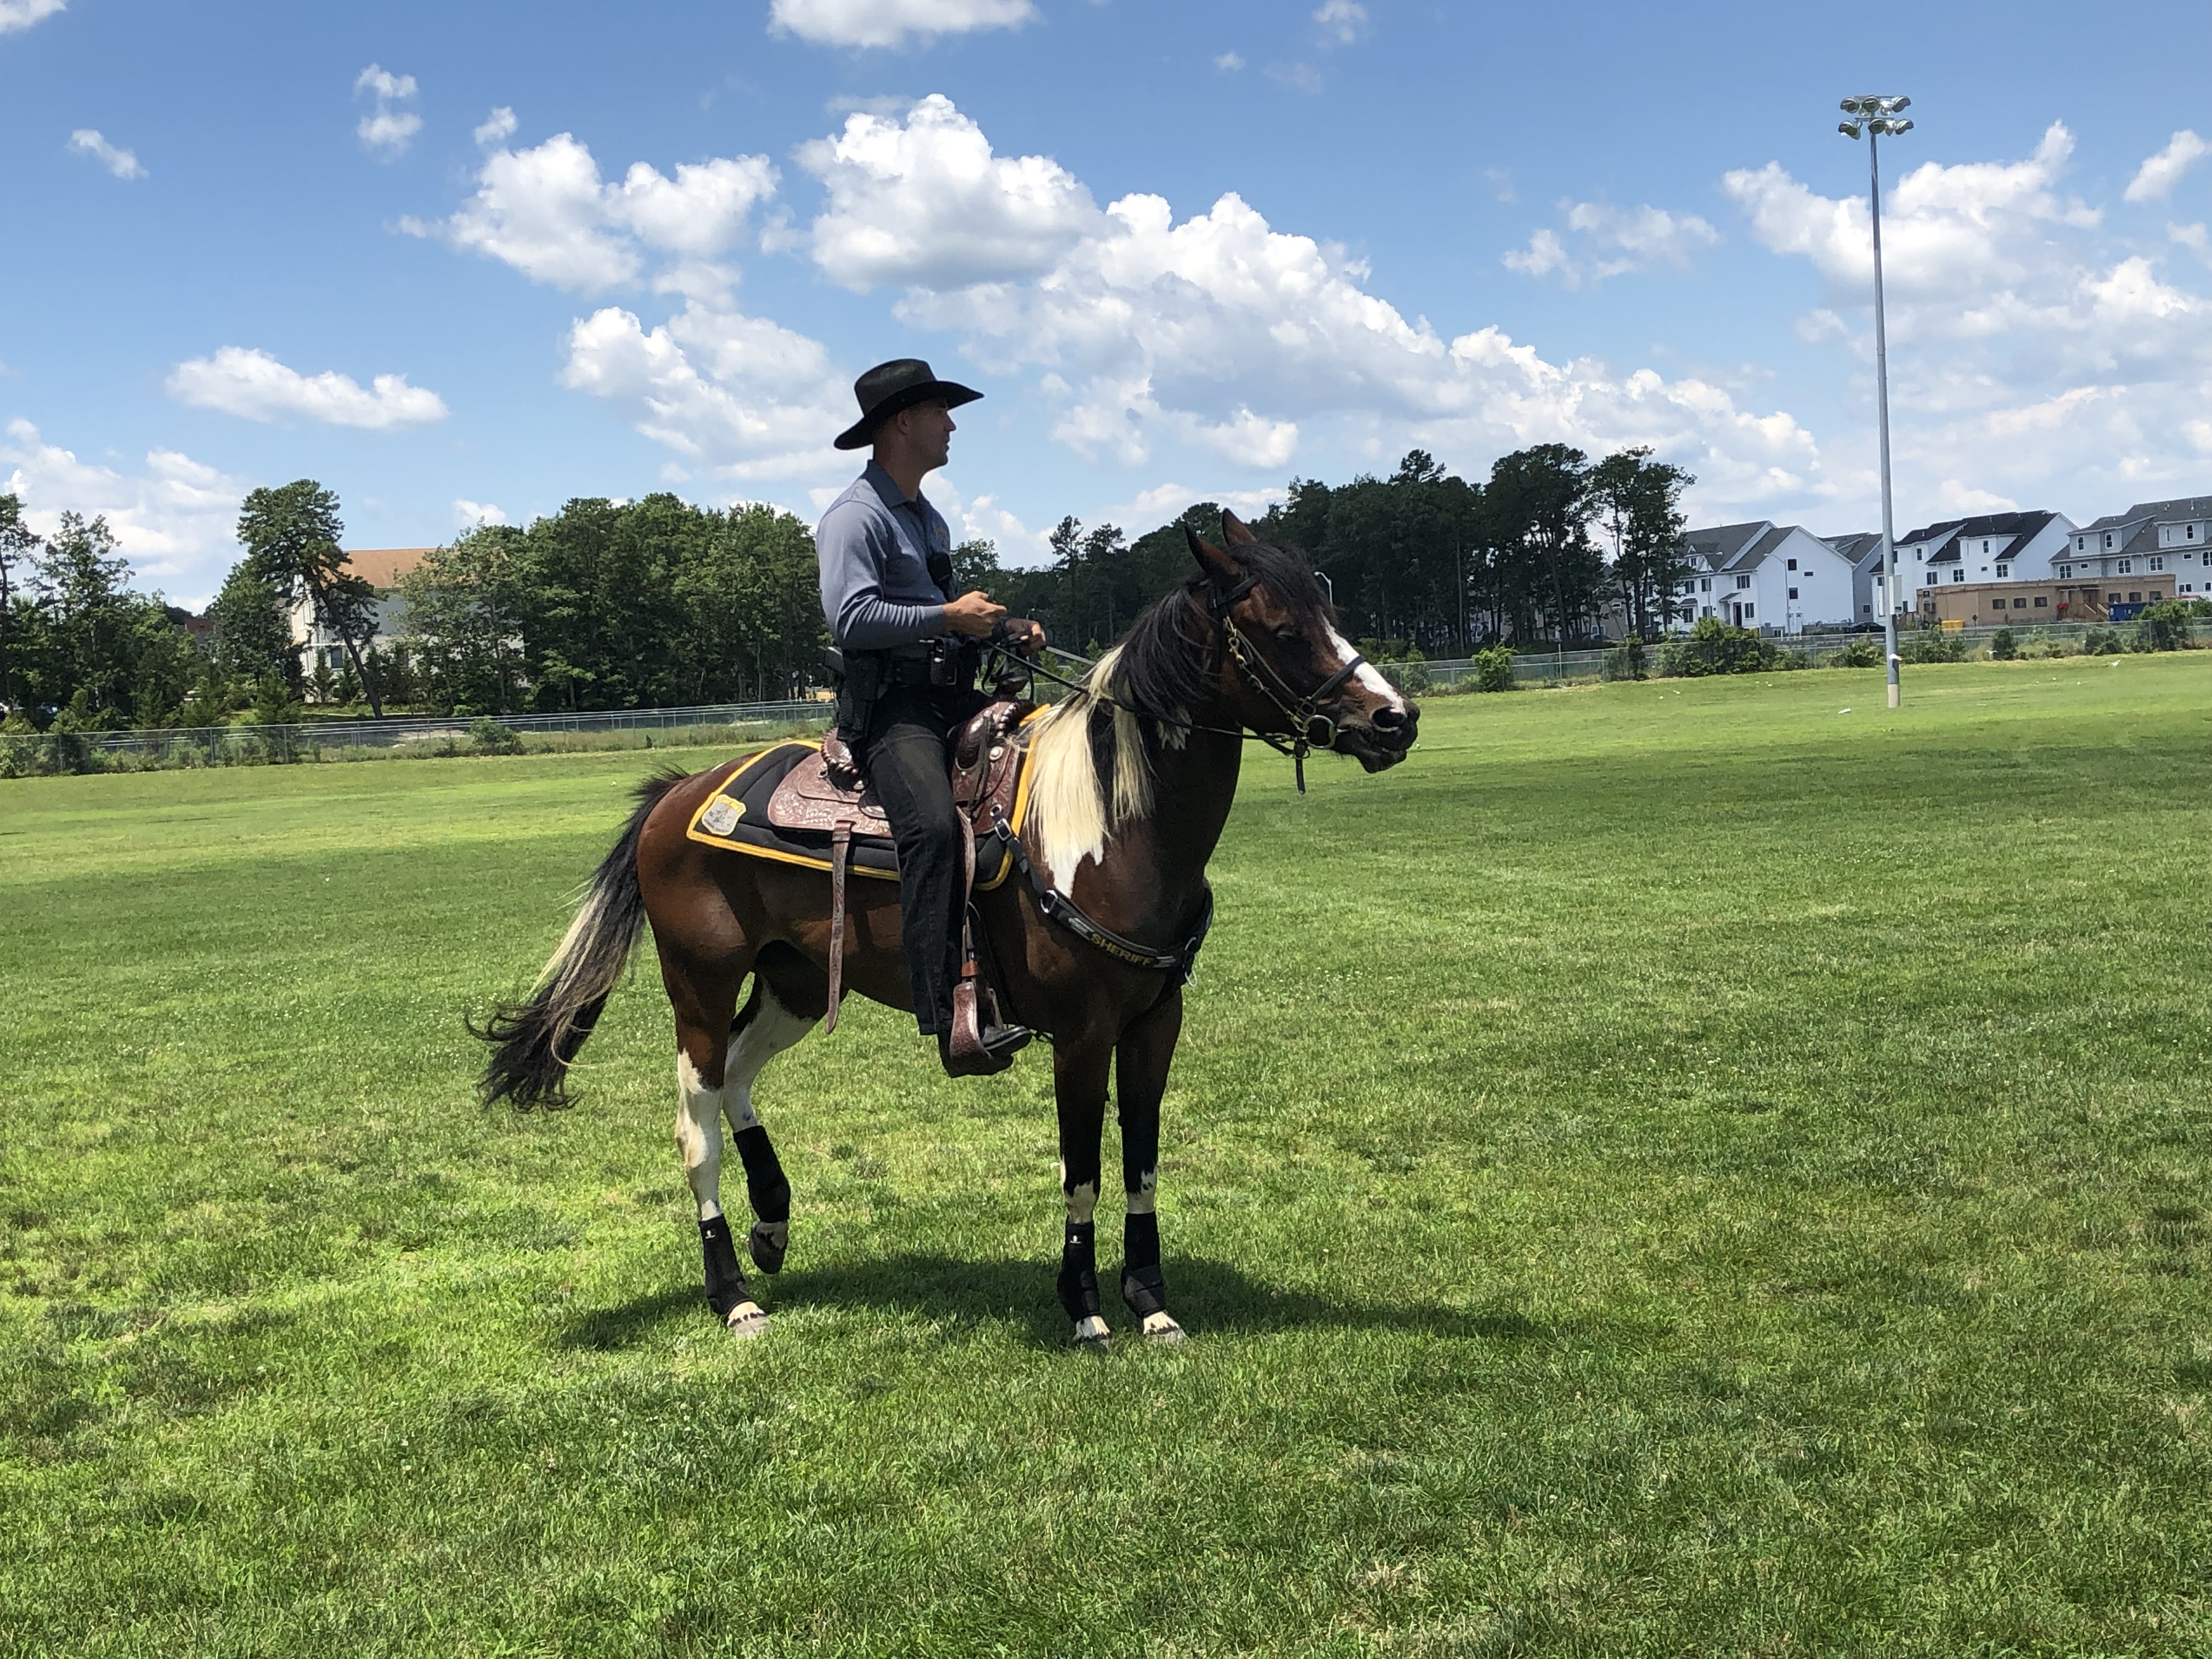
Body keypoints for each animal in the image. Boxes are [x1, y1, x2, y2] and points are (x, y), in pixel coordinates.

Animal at [476, 511, 1419, 1345]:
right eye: (1283, 629)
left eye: (1330, 612)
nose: (1396, 719)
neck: (1109, 828)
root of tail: (679, 792)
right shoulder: (1082, 1035)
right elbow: (1083, 1169)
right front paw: (1085, 1308)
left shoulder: (1156, 1021)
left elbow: (1143, 1159)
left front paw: (1151, 1301)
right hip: (699, 988)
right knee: (696, 1120)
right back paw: (732, 1294)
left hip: (791, 981)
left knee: (740, 1078)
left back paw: (773, 1224)